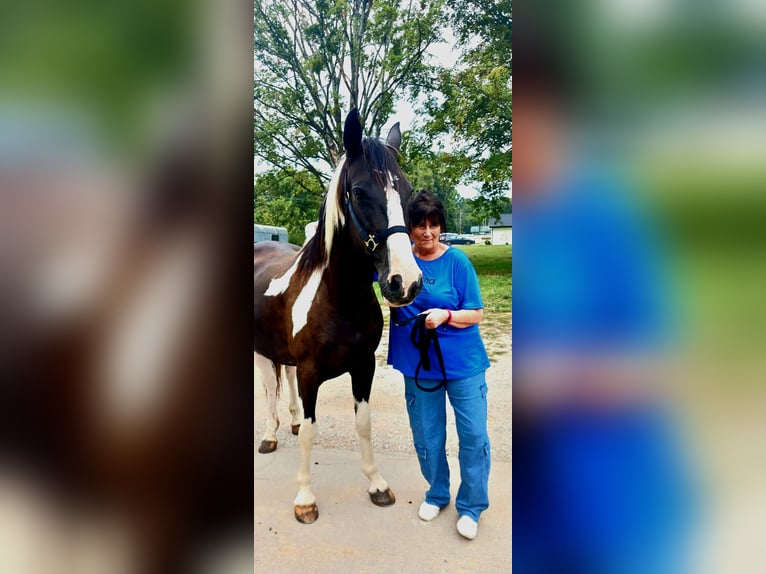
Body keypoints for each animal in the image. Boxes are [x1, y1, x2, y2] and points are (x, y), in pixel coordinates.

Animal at [253, 108, 422, 524]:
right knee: (269, 392)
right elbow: (311, 432)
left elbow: (363, 423)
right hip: (260, 352)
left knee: (286, 387)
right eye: (359, 192)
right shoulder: (311, 373)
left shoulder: (363, 367)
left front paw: (376, 484)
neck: (338, 299)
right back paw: (270, 435)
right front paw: (304, 499)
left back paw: (289, 422)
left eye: (407, 191)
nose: (405, 282)